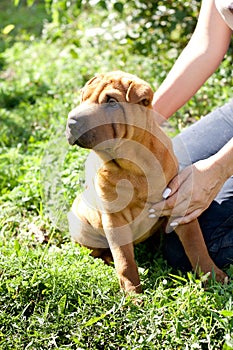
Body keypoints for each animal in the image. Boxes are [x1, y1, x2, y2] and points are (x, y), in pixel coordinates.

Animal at [66, 70, 228, 292]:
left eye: (111, 102)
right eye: (83, 98)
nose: (71, 122)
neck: (131, 163)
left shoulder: (180, 205)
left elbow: (197, 245)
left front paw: (214, 276)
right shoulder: (114, 219)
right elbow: (124, 260)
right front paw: (132, 293)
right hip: (82, 226)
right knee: (98, 253)